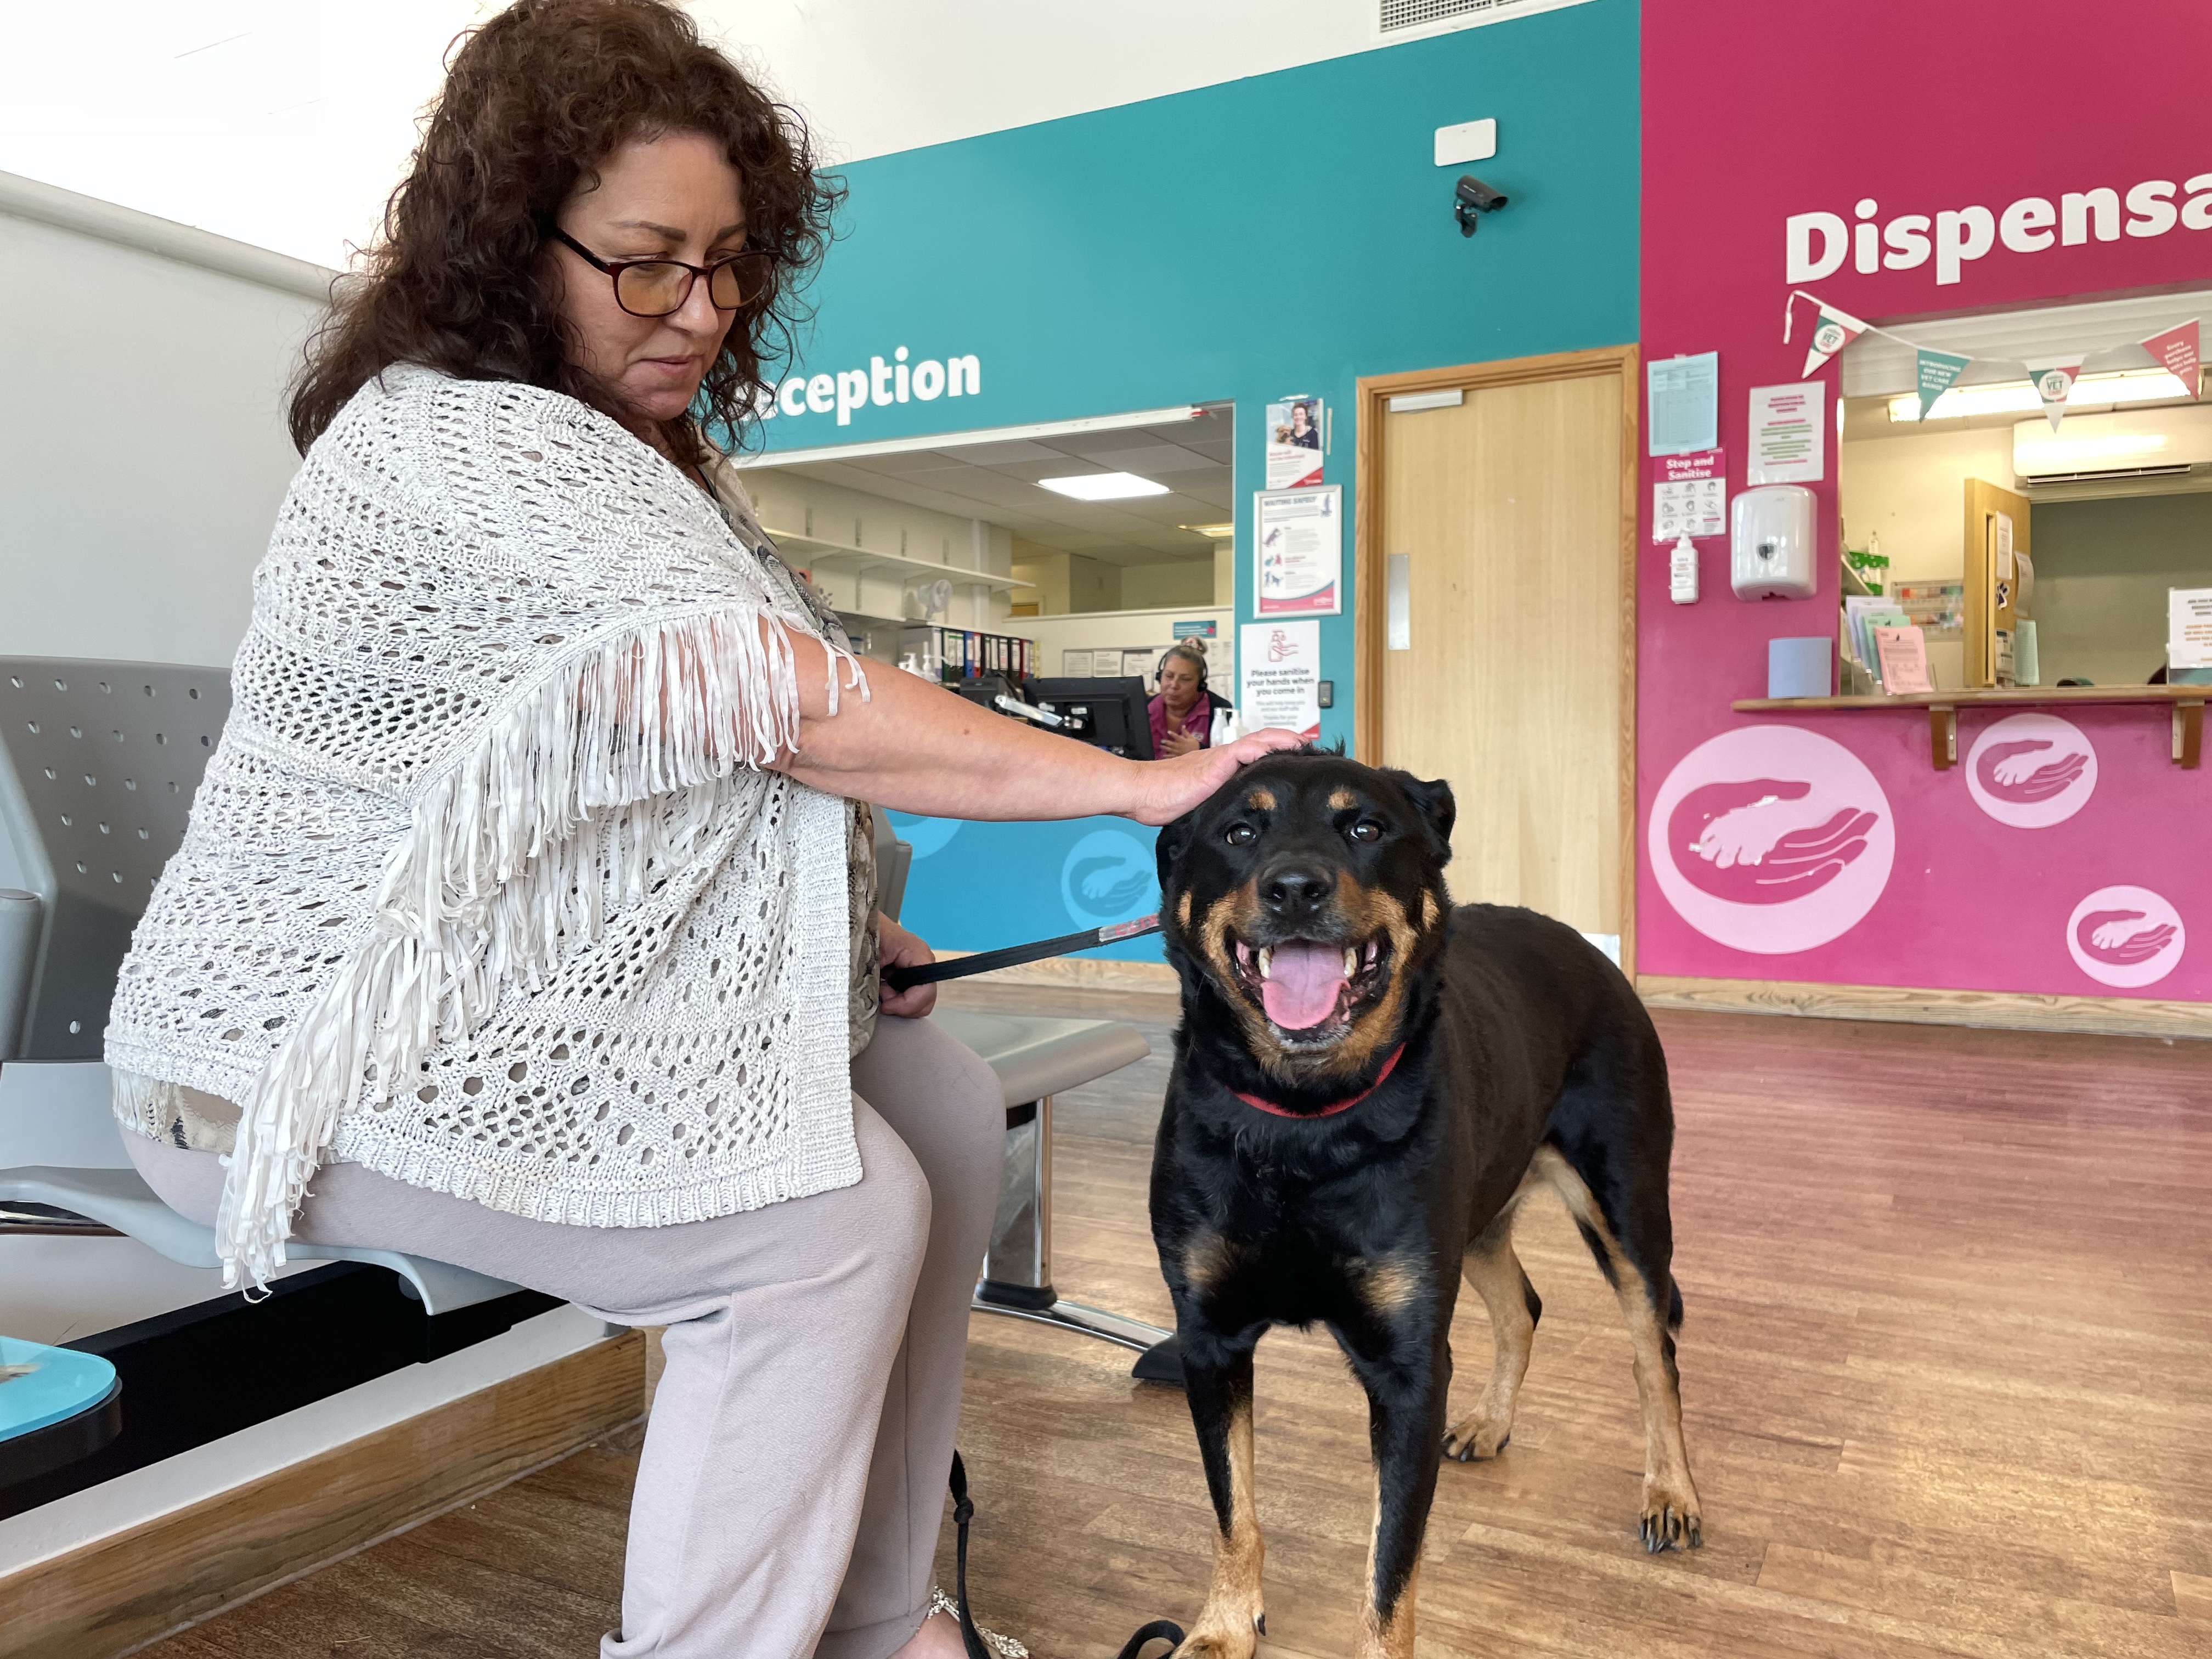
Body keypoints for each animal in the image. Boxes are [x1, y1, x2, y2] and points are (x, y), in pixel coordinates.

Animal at [1150, 756, 1699, 1659]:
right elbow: (1234, 1512)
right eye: (1240, 831)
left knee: (1655, 1356)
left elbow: (1389, 1572)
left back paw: (1673, 1491)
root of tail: (1588, 949)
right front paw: (1225, 1626)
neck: (1305, 1123)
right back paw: (1490, 1422)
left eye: (1365, 827)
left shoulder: (1406, 1371)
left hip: (1628, 1208)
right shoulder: (1211, 1341)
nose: (1294, 890)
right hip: (1478, 1216)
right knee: (1522, 1307)